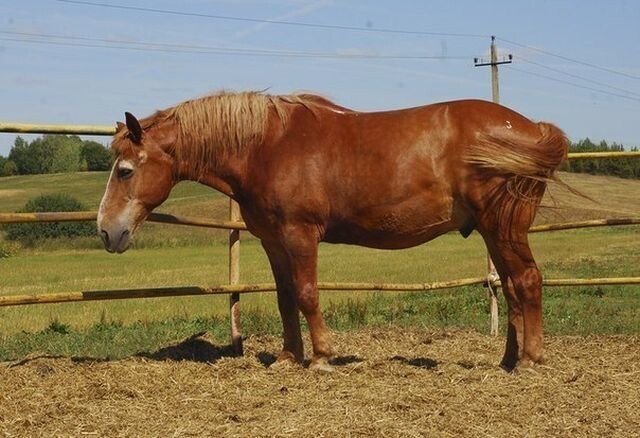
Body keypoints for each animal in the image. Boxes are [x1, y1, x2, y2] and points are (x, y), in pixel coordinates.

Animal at [97, 90, 568, 372]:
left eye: (125, 171)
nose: (105, 232)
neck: (267, 146)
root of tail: (532, 128)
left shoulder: (300, 234)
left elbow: (307, 294)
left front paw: (322, 357)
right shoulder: (273, 241)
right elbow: (286, 298)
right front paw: (289, 357)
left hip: (503, 227)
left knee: (527, 281)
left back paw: (530, 360)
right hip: (493, 231)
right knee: (512, 287)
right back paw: (508, 360)